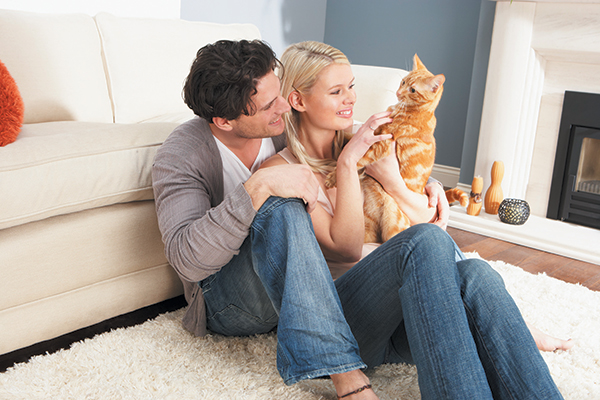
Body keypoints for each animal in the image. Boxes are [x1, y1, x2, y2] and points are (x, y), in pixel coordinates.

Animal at [326, 54, 466, 242]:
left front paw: (333, 177)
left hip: (393, 226)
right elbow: (351, 137)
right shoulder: (371, 132)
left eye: (413, 90)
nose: (399, 93)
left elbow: (358, 157)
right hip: (367, 227)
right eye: (403, 82)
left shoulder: (381, 144)